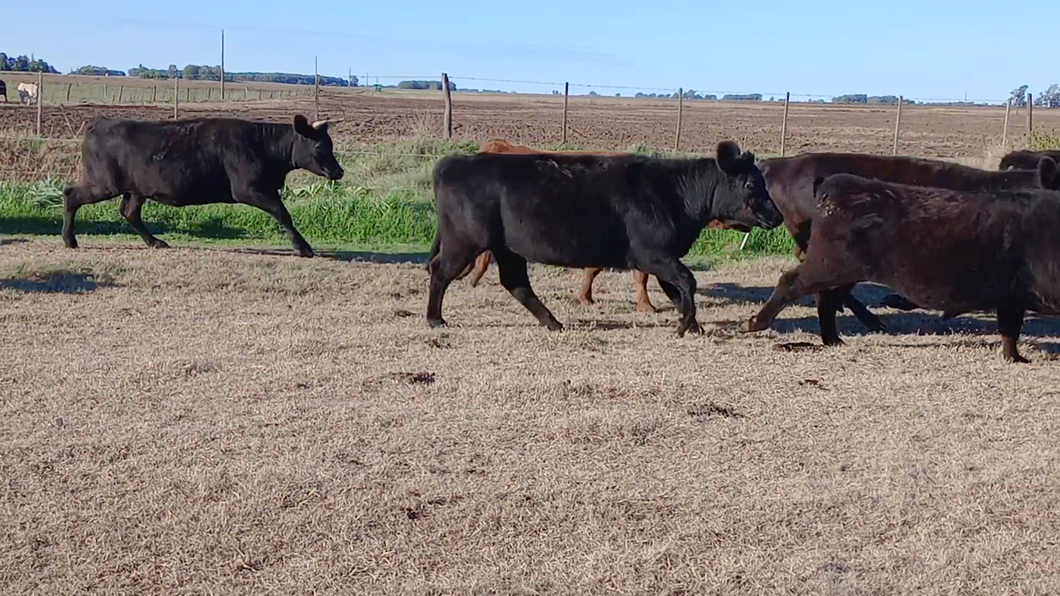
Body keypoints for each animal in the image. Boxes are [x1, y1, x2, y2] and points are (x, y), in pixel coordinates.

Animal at [60, 115, 343, 256]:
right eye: (320, 146)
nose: (338, 171)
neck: (263, 143)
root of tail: (98, 123)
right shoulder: (250, 189)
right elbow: (282, 213)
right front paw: (303, 247)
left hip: (136, 190)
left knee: (130, 213)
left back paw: (155, 242)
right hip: (104, 184)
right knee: (71, 194)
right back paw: (69, 240)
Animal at [426, 139, 784, 335]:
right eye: (751, 185)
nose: (777, 216)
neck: (674, 191)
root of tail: (455, 162)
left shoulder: (662, 256)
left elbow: (677, 290)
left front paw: (692, 325)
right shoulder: (652, 254)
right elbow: (686, 281)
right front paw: (685, 326)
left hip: (507, 249)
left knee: (516, 284)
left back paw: (553, 323)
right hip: (464, 241)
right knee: (440, 271)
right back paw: (435, 319)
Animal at [741, 167, 1060, 362]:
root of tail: (836, 185)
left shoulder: (1011, 297)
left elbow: (1010, 329)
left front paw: (1015, 358)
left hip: (837, 270)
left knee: (826, 297)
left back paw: (834, 339)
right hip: (829, 264)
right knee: (792, 282)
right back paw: (754, 323)